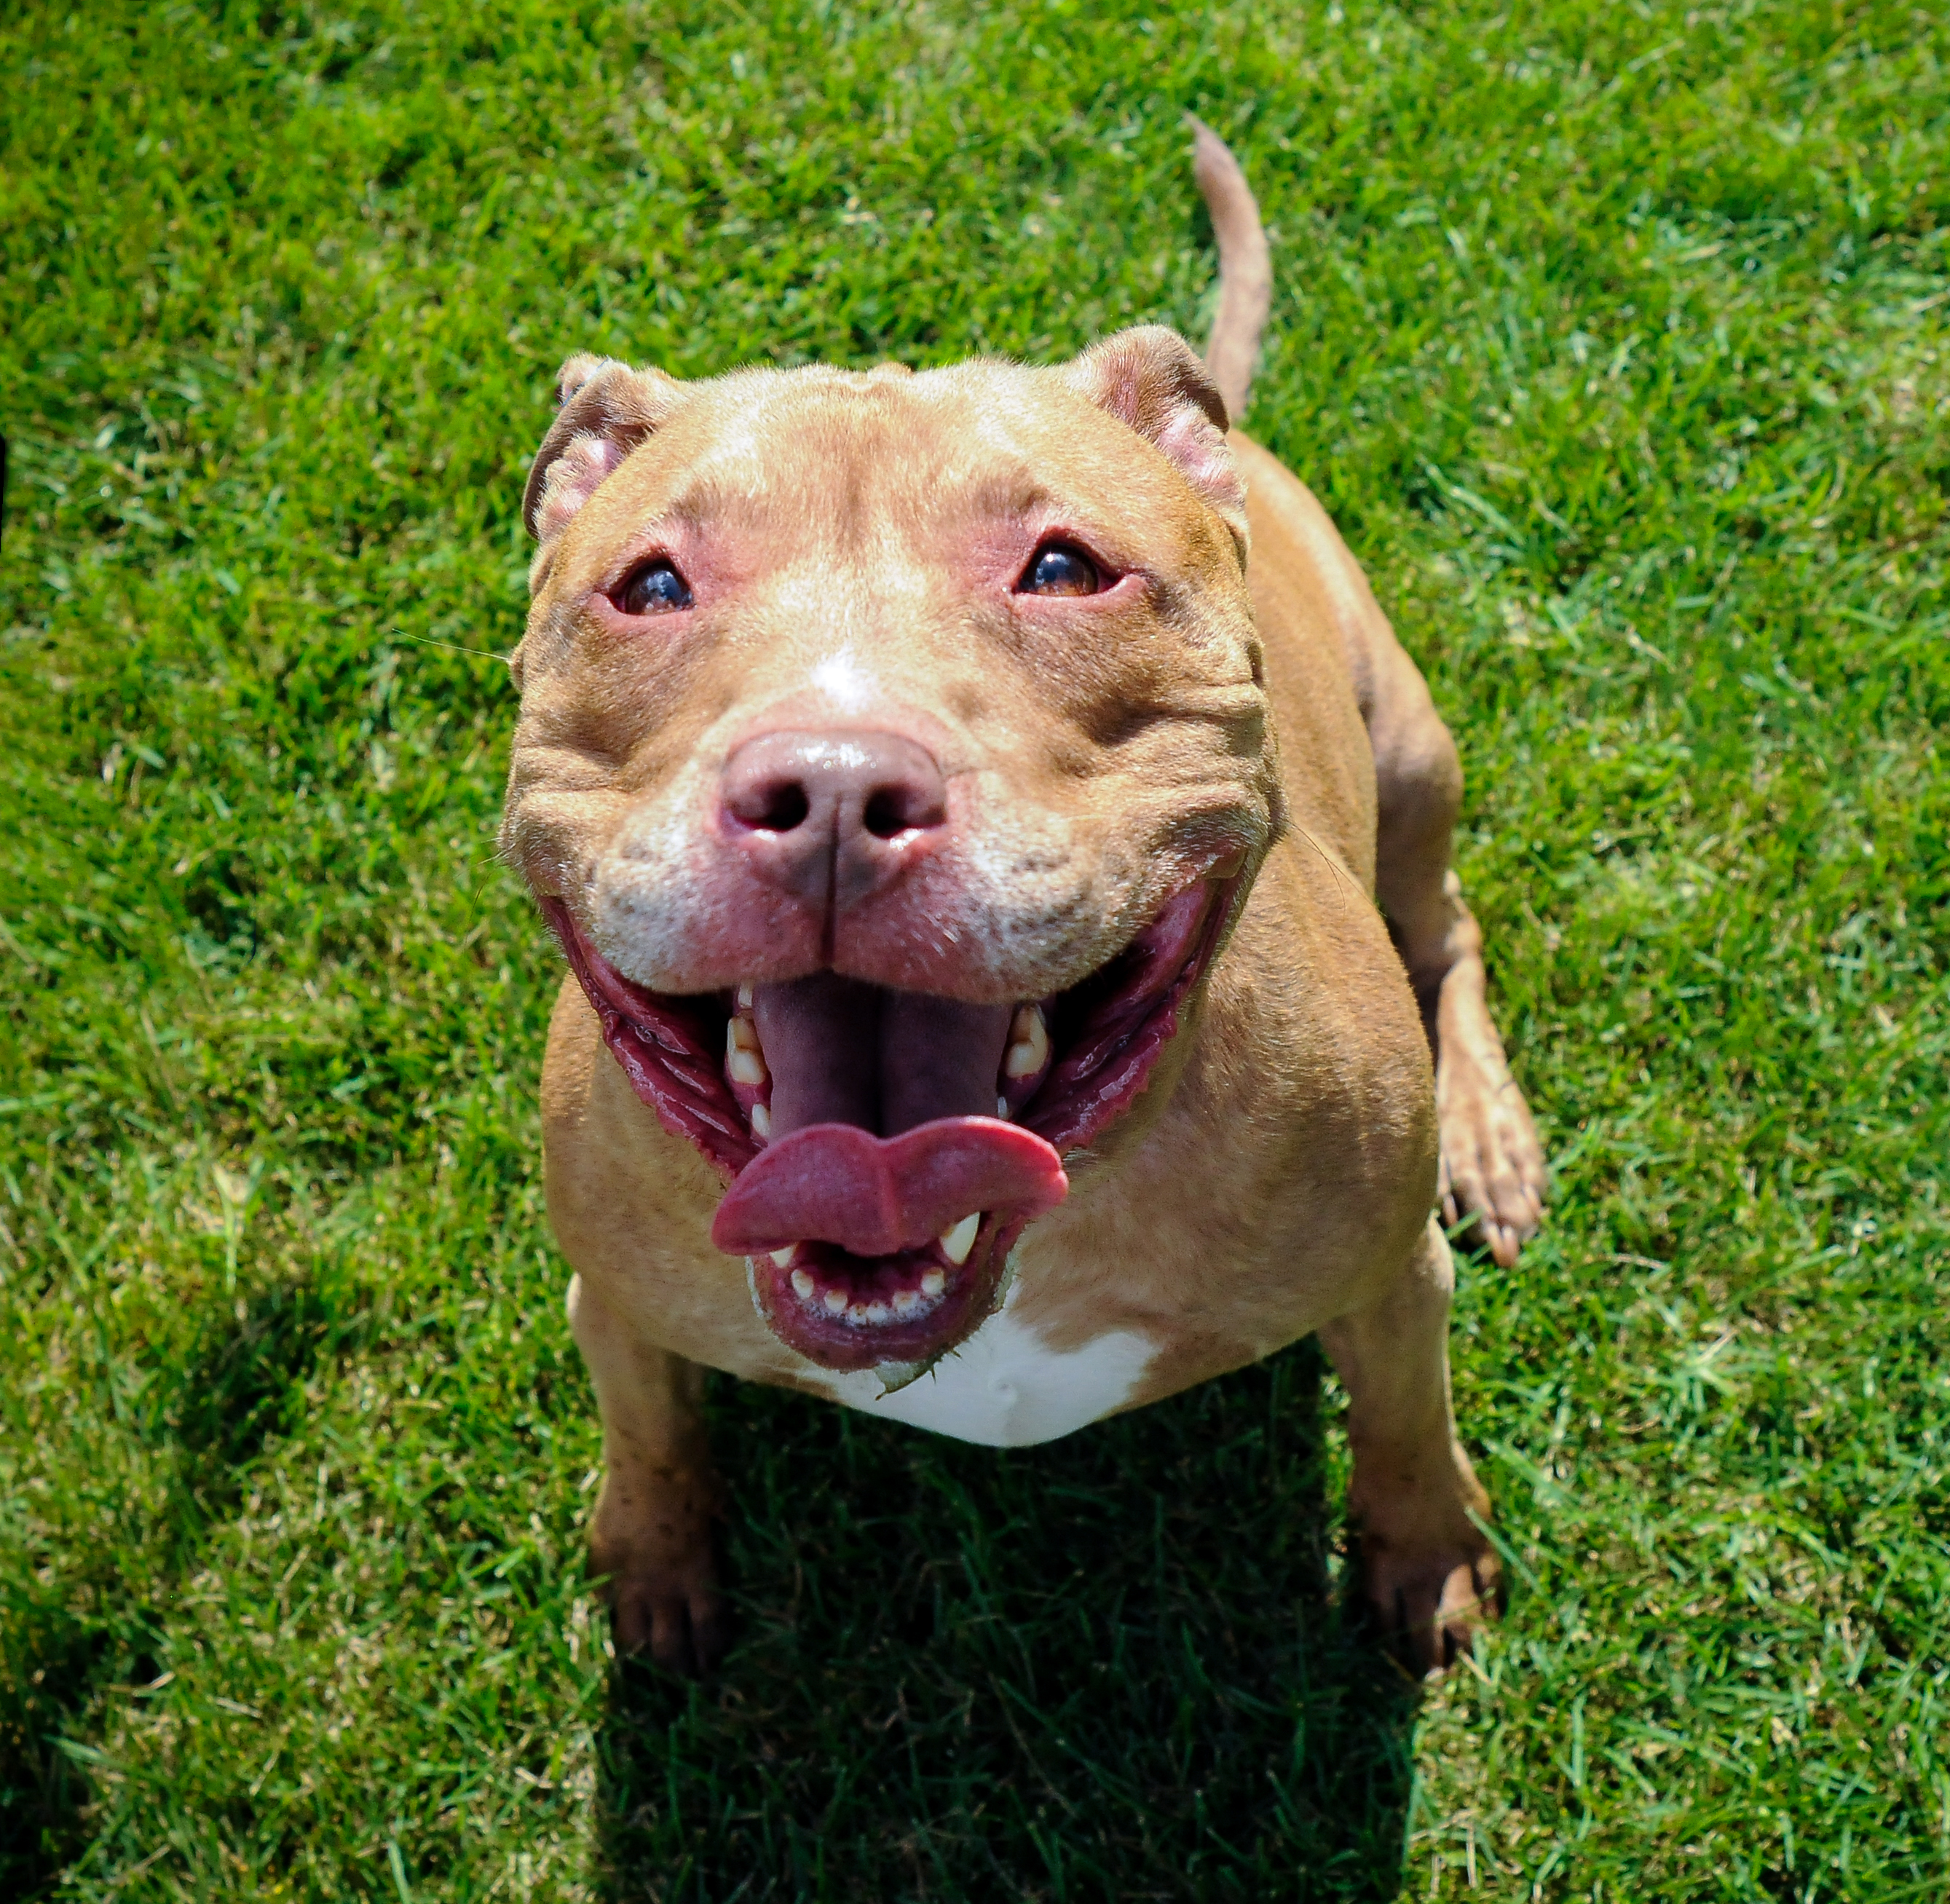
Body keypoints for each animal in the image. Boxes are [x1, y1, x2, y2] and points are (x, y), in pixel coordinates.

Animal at [499, 127, 1536, 1670]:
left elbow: (1409, 1425)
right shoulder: (612, 1299)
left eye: (1061, 568)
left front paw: (1426, 1559)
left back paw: (1487, 1135)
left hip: (1413, 759)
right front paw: (652, 1561)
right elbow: (649, 1434)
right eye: (651, 588)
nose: (833, 793)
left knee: (1448, 933)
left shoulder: (1391, 1280)